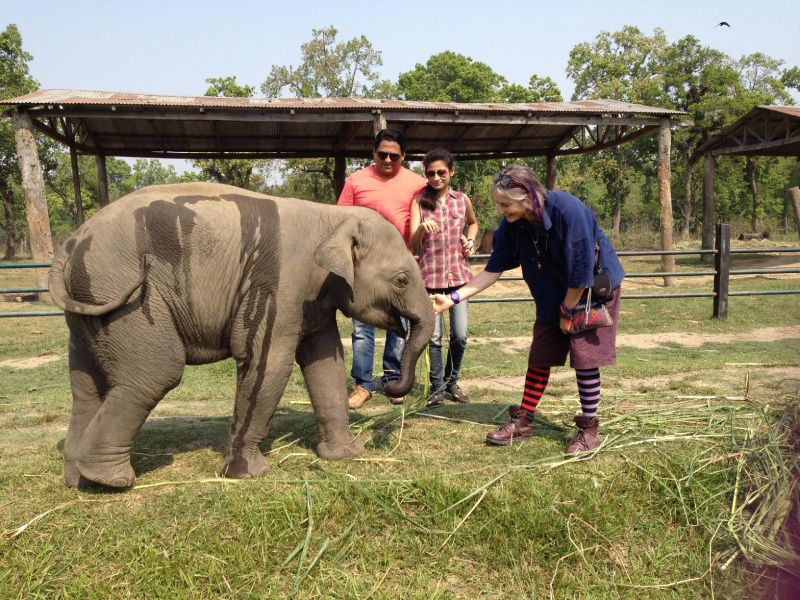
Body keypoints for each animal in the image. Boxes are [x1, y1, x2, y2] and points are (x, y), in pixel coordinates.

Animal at [49, 182, 435, 488]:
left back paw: (80, 482)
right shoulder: (281, 282)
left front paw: (346, 455)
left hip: (87, 307)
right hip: (122, 296)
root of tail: (67, 246)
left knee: (86, 386)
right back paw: (113, 480)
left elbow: (325, 363)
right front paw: (247, 475)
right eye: (402, 280)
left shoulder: (313, 298)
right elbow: (268, 363)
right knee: (156, 372)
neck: (331, 216)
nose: (392, 387)